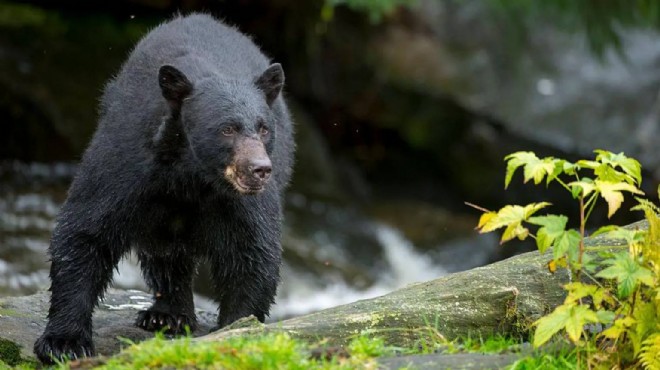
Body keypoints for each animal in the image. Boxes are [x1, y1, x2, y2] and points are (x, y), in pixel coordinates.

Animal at [33, 13, 294, 362]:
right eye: (227, 129)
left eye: (263, 128)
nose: (259, 170)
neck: (191, 176)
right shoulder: (129, 166)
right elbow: (87, 230)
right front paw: (64, 343)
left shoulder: (239, 201)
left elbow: (252, 251)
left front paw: (237, 327)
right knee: (165, 252)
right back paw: (167, 314)